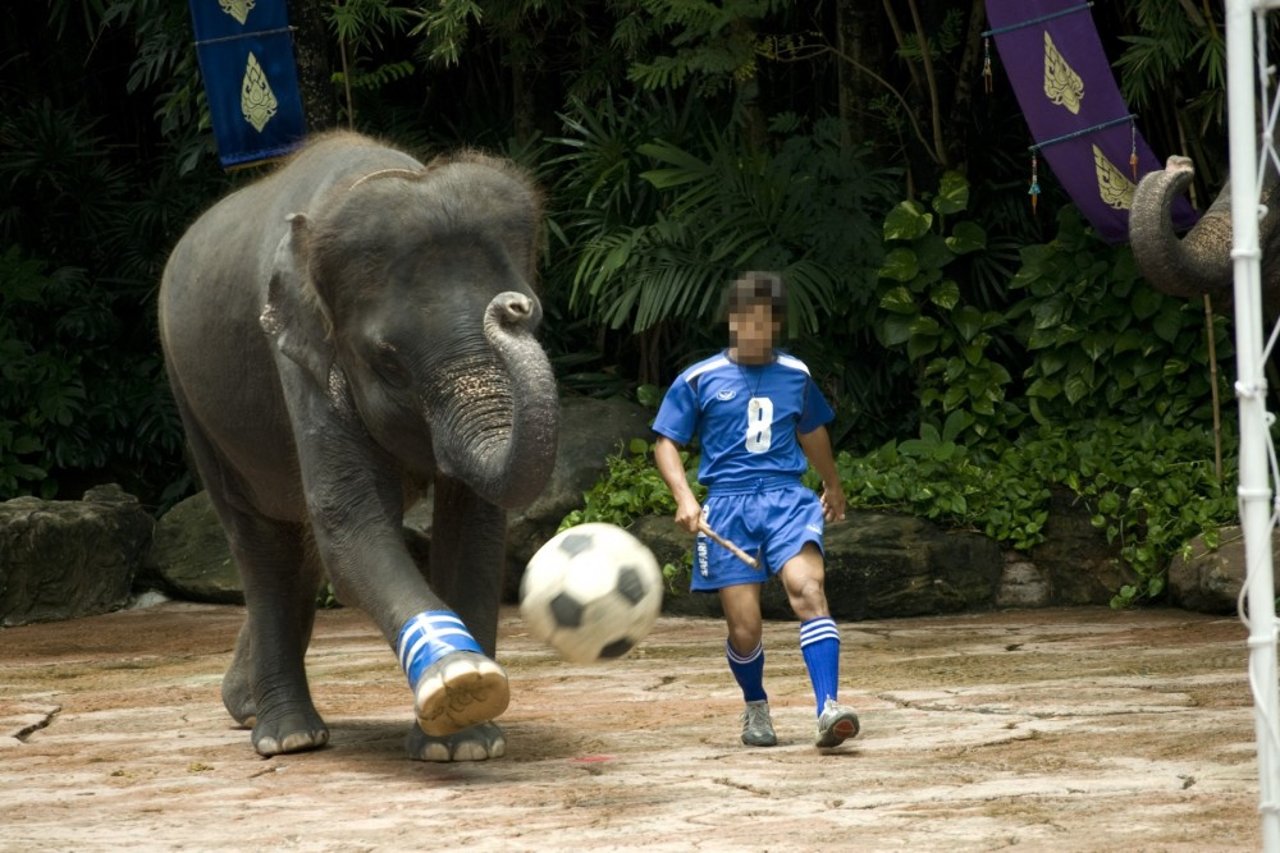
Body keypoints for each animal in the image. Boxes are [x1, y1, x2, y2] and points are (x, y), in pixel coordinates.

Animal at [157, 129, 558, 758]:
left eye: (533, 314)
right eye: (387, 361)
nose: (510, 308)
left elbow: (475, 527)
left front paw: (465, 742)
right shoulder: (297, 355)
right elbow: (350, 522)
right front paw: (460, 682)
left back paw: (244, 706)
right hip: (192, 400)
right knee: (262, 544)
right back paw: (289, 738)